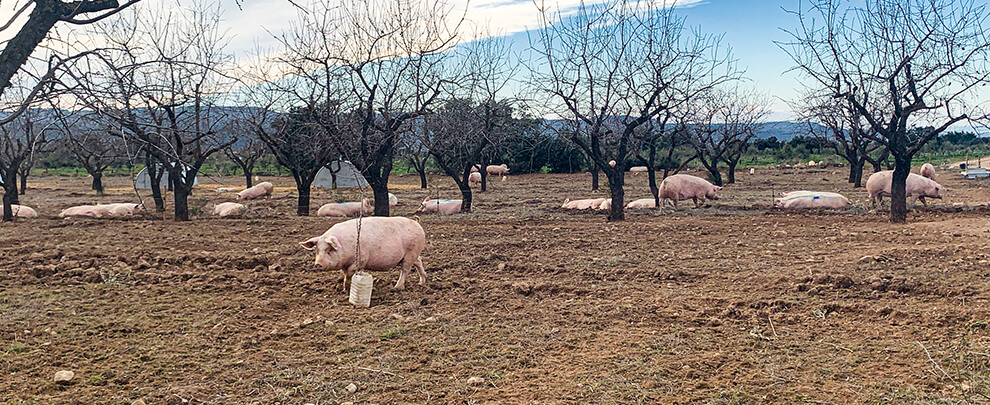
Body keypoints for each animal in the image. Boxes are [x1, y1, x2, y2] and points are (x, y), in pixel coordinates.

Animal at [300, 215, 428, 290]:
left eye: (329, 249)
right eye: (317, 250)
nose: (318, 264)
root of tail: (417, 223)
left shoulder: (361, 259)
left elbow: (349, 274)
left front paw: (346, 288)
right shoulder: (344, 264)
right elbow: (345, 273)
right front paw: (344, 287)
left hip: (410, 252)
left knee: (405, 270)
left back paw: (397, 287)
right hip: (413, 254)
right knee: (419, 261)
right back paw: (421, 283)